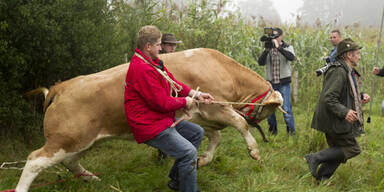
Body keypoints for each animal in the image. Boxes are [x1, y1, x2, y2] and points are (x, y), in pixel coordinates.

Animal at [15, 48, 284, 192]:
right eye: (268, 114)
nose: (261, 126)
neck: (222, 68)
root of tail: (62, 86)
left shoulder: (204, 117)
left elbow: (215, 137)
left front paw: (201, 160)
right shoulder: (217, 107)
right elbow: (239, 124)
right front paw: (254, 151)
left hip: (83, 140)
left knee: (70, 162)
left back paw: (93, 179)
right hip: (66, 138)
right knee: (35, 160)